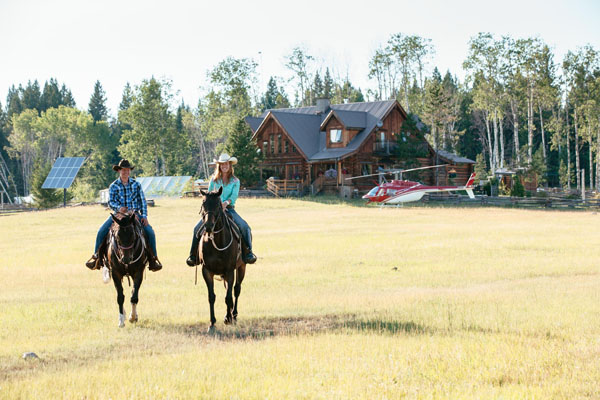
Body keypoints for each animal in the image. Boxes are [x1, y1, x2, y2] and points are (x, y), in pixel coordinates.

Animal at [196, 188, 245, 332]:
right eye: (203, 204)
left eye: (218, 205)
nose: (208, 226)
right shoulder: (206, 271)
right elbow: (211, 296)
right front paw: (212, 323)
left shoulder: (230, 271)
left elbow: (228, 297)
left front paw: (228, 318)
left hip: (242, 267)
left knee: (236, 289)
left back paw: (233, 315)